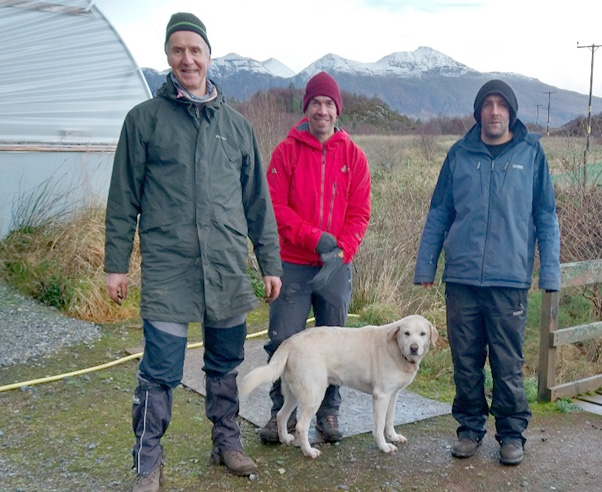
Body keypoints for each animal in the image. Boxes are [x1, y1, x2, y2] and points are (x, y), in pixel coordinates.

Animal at [240, 316, 436, 458]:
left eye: (423, 334)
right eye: (406, 333)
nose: (414, 347)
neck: (397, 350)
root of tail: (290, 341)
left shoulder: (393, 395)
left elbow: (389, 421)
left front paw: (393, 437)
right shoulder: (380, 396)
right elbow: (379, 425)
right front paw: (384, 446)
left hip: (295, 393)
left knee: (281, 415)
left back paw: (284, 438)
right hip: (314, 395)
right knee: (301, 426)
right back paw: (309, 452)